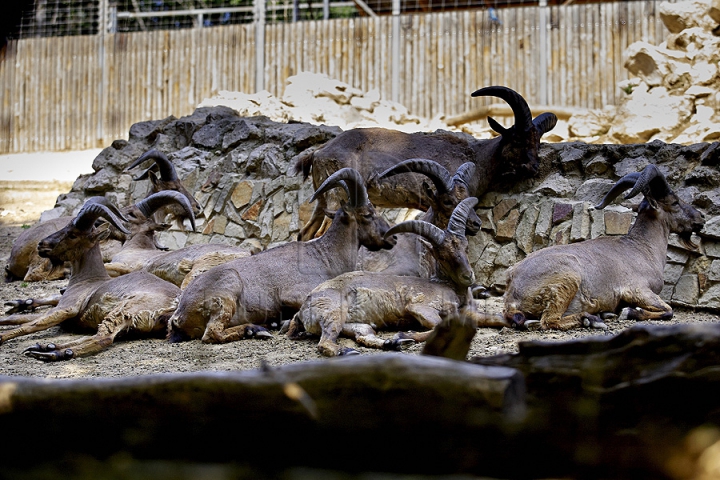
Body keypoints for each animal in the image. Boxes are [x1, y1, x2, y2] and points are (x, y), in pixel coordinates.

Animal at [0, 199, 183, 360]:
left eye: (73, 234)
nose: (41, 245)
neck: (87, 279)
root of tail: (172, 306)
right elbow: (18, 319)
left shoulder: (66, 308)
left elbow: (28, 326)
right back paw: (49, 347)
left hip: (124, 310)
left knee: (102, 338)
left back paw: (52, 353)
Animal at [166, 167, 396, 344]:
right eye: (368, 214)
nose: (392, 238)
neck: (325, 256)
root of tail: (179, 314)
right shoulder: (294, 293)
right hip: (227, 293)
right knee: (211, 334)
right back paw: (256, 329)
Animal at [286, 196, 506, 356]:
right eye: (442, 255)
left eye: (465, 247)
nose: (468, 276)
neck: (450, 289)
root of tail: (302, 311)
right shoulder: (420, 307)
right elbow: (439, 324)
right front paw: (406, 332)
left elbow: (495, 318)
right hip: (334, 312)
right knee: (325, 343)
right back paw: (351, 350)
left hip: (357, 324)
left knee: (364, 335)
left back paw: (393, 343)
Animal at [294, 85, 556, 240]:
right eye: (517, 138)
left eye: (537, 141)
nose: (533, 167)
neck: (477, 158)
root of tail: (317, 153)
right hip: (338, 197)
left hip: (322, 200)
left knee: (305, 234)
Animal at [500, 164, 704, 330]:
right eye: (675, 202)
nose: (700, 218)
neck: (643, 248)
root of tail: (512, 287)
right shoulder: (638, 289)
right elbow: (669, 311)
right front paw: (629, 312)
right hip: (568, 279)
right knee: (549, 321)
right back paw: (591, 319)